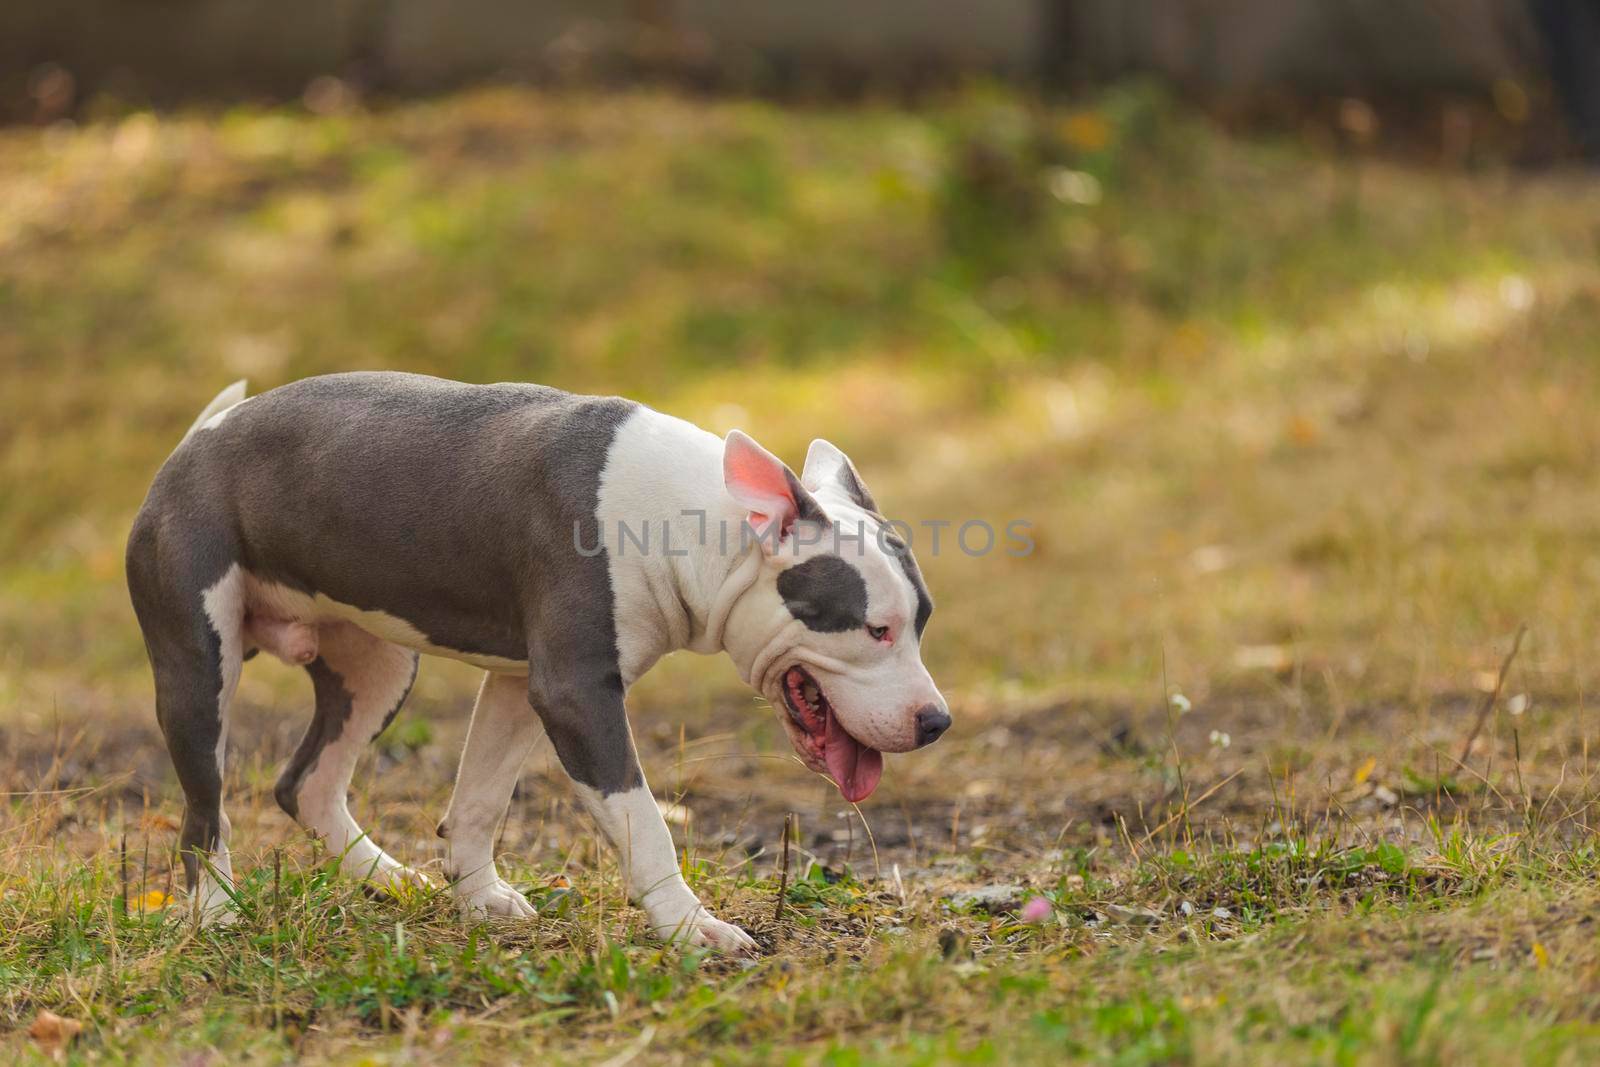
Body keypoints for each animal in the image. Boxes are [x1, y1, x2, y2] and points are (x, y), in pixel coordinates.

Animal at [131, 374, 947, 953]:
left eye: (923, 620)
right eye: (875, 629)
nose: (937, 721)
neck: (694, 522)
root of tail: (193, 443)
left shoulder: (521, 682)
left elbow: (481, 798)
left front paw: (481, 900)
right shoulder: (576, 693)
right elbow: (644, 822)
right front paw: (693, 928)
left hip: (377, 668)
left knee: (308, 783)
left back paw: (391, 881)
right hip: (197, 667)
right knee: (205, 810)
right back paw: (217, 913)